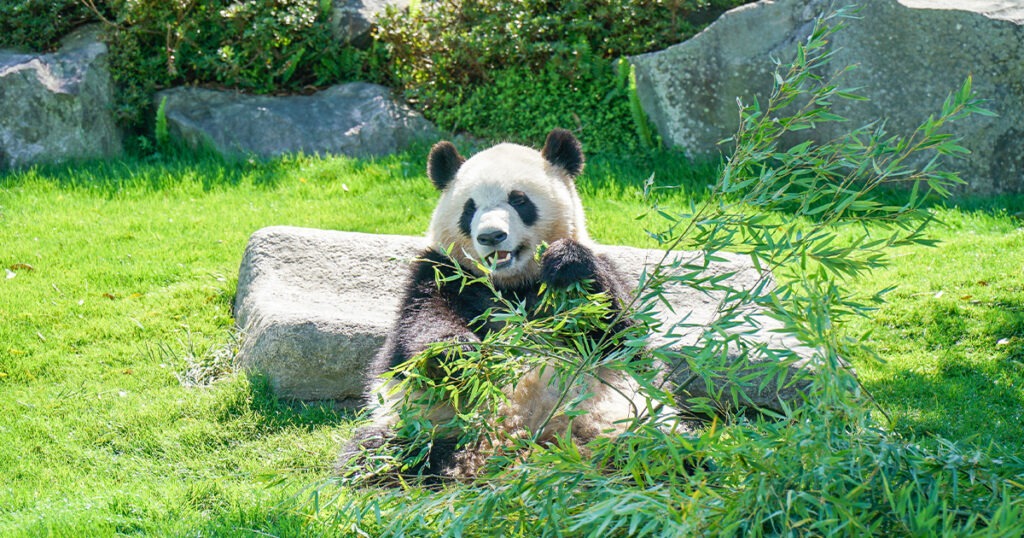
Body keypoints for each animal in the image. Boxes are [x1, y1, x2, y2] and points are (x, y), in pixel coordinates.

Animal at [339, 129, 651, 477]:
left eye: (519, 200)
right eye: (470, 208)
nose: (491, 236)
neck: (510, 284)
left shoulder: (598, 273)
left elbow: (621, 334)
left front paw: (567, 262)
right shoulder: (442, 273)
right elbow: (420, 326)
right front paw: (457, 352)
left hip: (610, 424)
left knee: (651, 452)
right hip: (422, 427)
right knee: (378, 454)